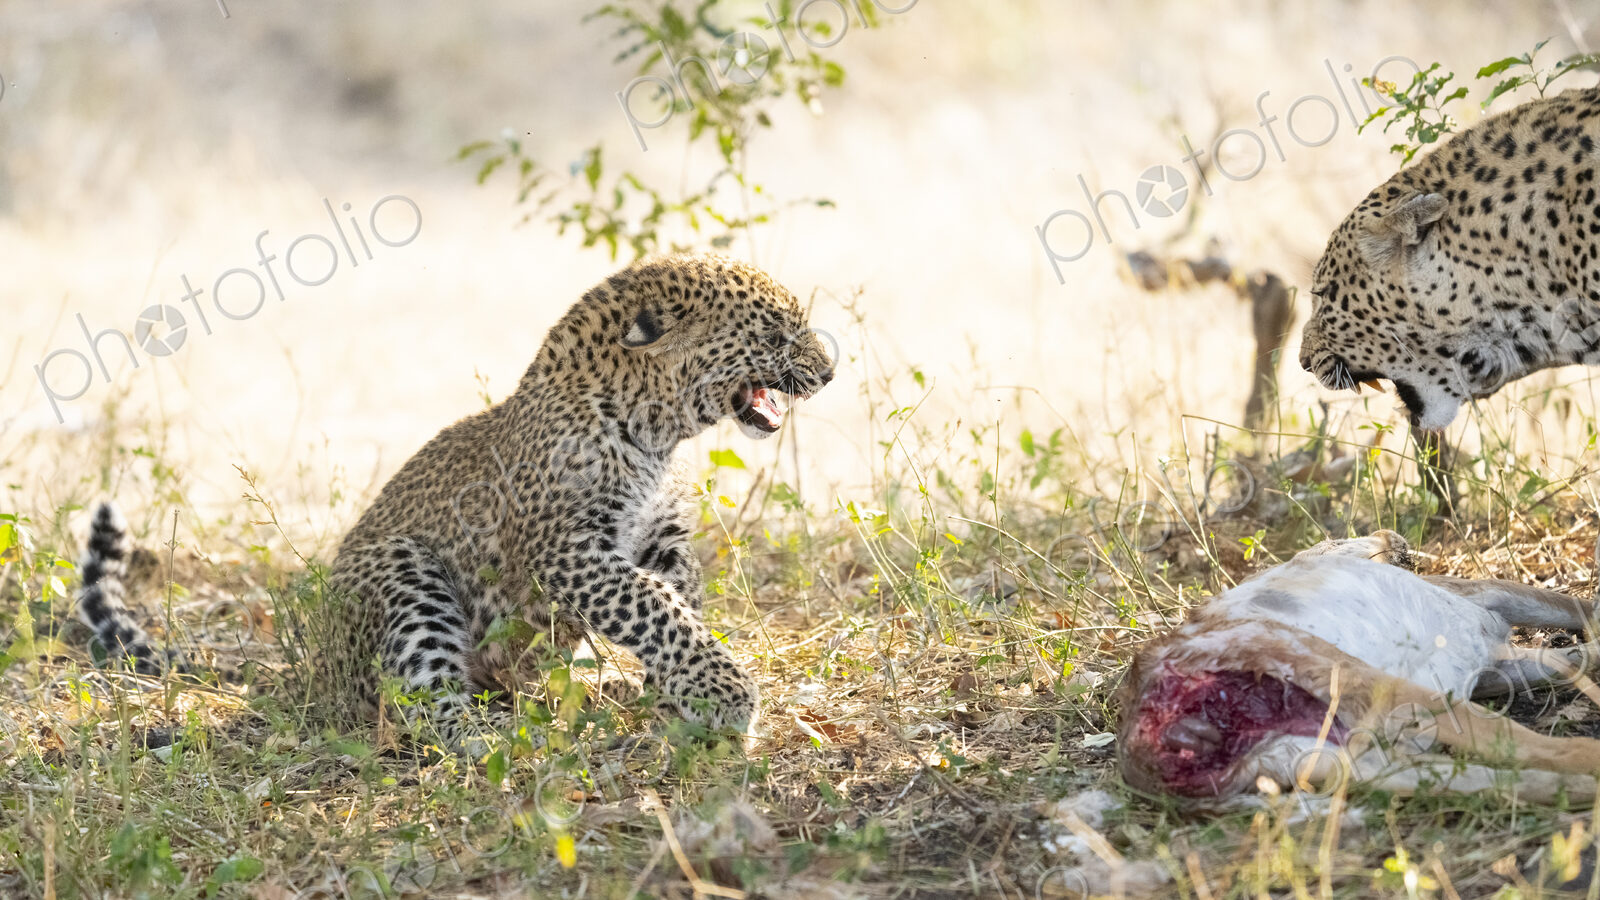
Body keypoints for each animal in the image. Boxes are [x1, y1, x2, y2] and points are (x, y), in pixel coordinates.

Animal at [319, 253, 834, 753]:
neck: (657, 433)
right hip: (400, 572)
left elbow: (681, 605)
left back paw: (601, 692)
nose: (829, 373)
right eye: (774, 335)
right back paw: (508, 734)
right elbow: (654, 606)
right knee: (423, 707)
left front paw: (672, 700)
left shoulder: (663, 540)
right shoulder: (563, 550)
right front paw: (725, 695)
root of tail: (322, 659)